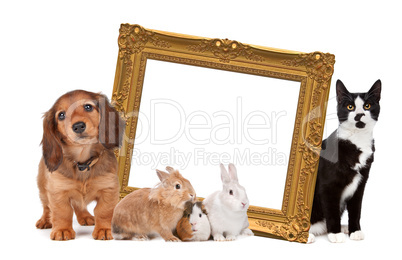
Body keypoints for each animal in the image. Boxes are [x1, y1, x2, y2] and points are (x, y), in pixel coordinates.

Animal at [310, 79, 382, 244]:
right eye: (350, 107)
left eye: (367, 106)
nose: (359, 114)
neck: (356, 142)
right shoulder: (328, 186)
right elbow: (331, 210)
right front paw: (335, 233)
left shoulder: (360, 184)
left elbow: (356, 210)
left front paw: (354, 230)